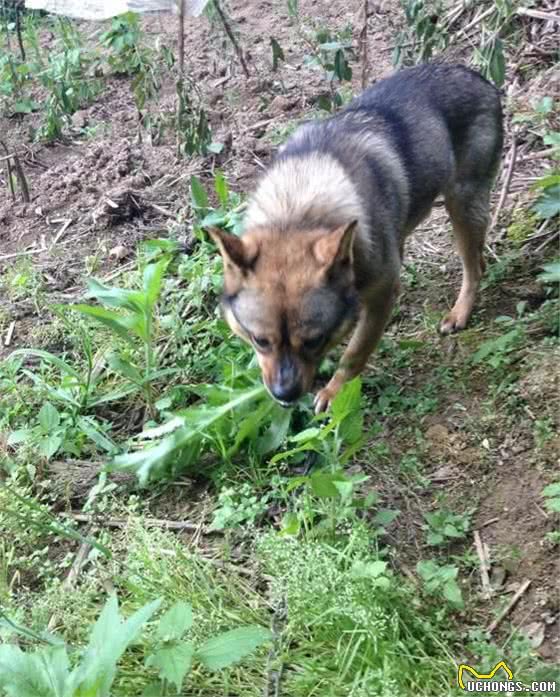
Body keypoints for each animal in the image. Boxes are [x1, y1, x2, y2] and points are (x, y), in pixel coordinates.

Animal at [209, 62, 504, 410]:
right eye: (260, 340)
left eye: (314, 340)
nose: (285, 396)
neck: (298, 210)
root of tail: (476, 75)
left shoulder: (379, 297)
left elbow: (353, 353)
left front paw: (335, 393)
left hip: (463, 206)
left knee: (475, 268)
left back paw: (459, 313)